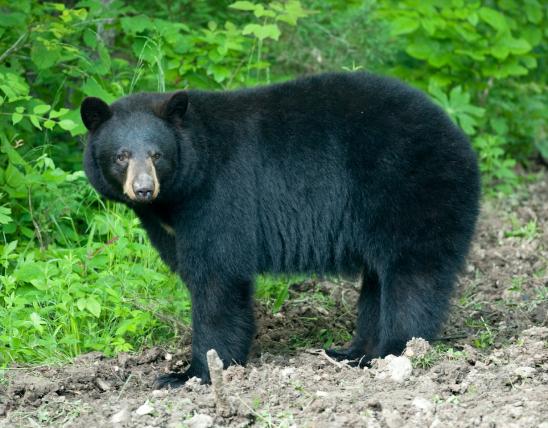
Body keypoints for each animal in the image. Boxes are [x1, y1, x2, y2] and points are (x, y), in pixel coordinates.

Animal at [80, 72, 480, 388]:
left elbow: (217, 278)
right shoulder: (172, 224)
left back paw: (396, 351)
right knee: (378, 281)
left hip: (410, 191)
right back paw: (354, 353)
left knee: (412, 277)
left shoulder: (219, 197)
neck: (180, 191)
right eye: (121, 156)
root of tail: (458, 137)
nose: (144, 189)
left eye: (157, 154)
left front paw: (192, 373)